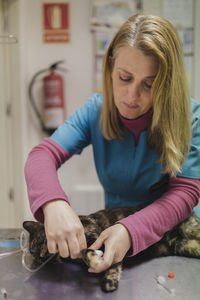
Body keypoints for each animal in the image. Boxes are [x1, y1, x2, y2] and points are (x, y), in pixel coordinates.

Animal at [22, 207, 200, 292]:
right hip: (184, 246)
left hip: (190, 230)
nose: (43, 255)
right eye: (39, 257)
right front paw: (109, 279)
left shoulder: (101, 238)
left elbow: (88, 252)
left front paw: (98, 265)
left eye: (43, 242)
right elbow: (110, 264)